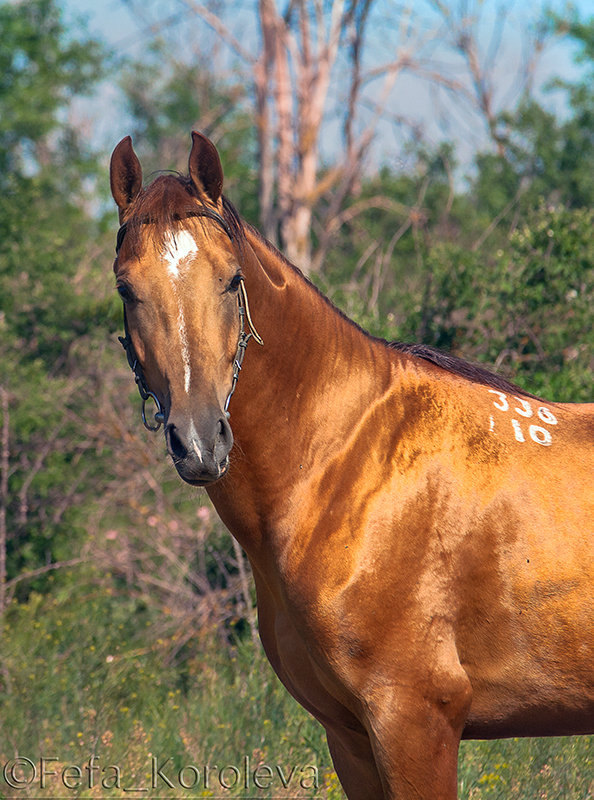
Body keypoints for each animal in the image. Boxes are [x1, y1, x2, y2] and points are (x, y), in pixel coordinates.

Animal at [111, 133, 592, 800]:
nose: (200, 441)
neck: (349, 466)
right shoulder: (351, 739)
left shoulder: (415, 721)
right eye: (127, 290)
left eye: (231, 280)